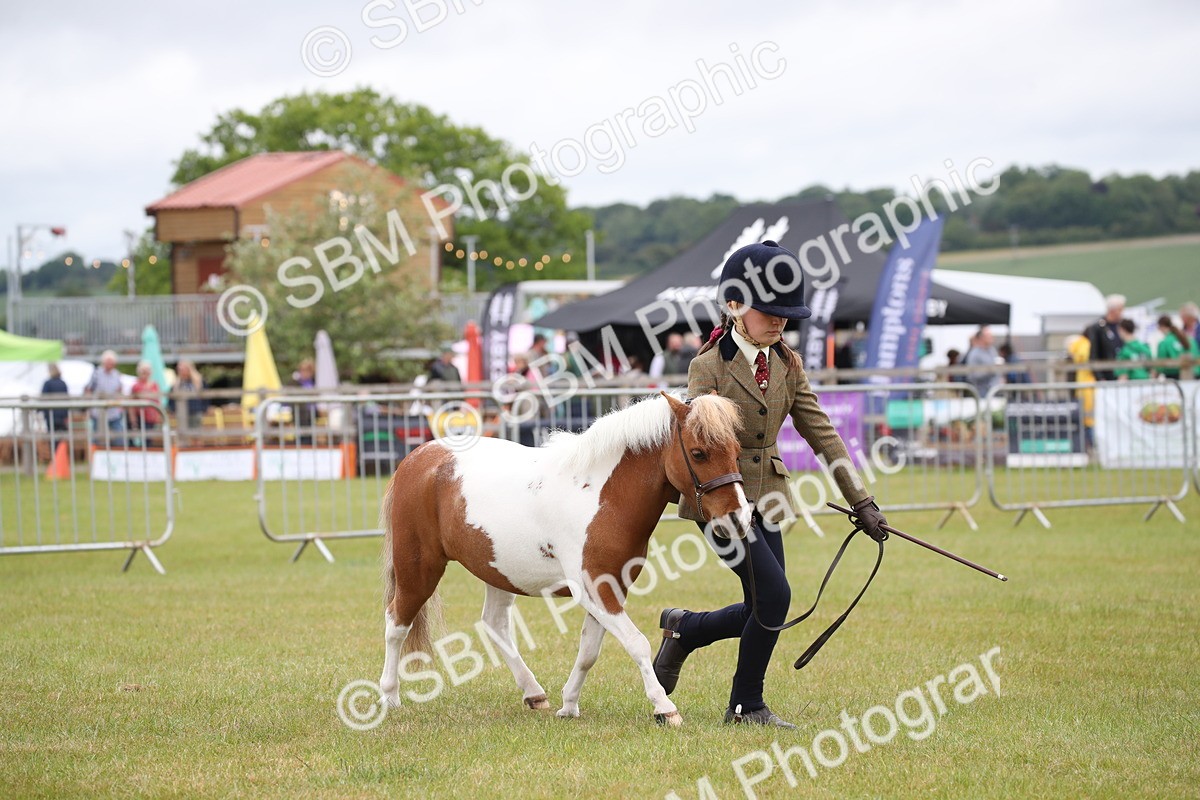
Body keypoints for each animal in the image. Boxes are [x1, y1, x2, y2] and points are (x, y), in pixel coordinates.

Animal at [377, 391, 751, 726]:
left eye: (737, 451)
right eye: (699, 453)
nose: (739, 519)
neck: (603, 496)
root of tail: (420, 456)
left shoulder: (610, 588)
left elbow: (588, 652)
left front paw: (569, 705)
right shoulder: (596, 590)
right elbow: (637, 643)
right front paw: (665, 708)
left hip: (498, 571)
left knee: (495, 625)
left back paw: (534, 693)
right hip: (418, 568)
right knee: (396, 623)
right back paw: (389, 697)